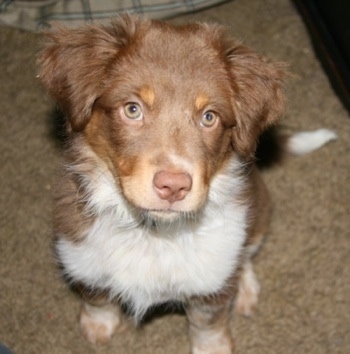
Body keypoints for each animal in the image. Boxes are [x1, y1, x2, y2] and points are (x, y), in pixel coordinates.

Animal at [38, 14, 336, 354]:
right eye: (132, 109)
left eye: (209, 117)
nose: (173, 186)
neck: (153, 233)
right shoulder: (79, 253)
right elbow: (95, 296)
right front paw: (97, 327)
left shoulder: (211, 280)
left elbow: (208, 322)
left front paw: (214, 348)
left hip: (258, 211)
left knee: (245, 256)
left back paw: (246, 290)